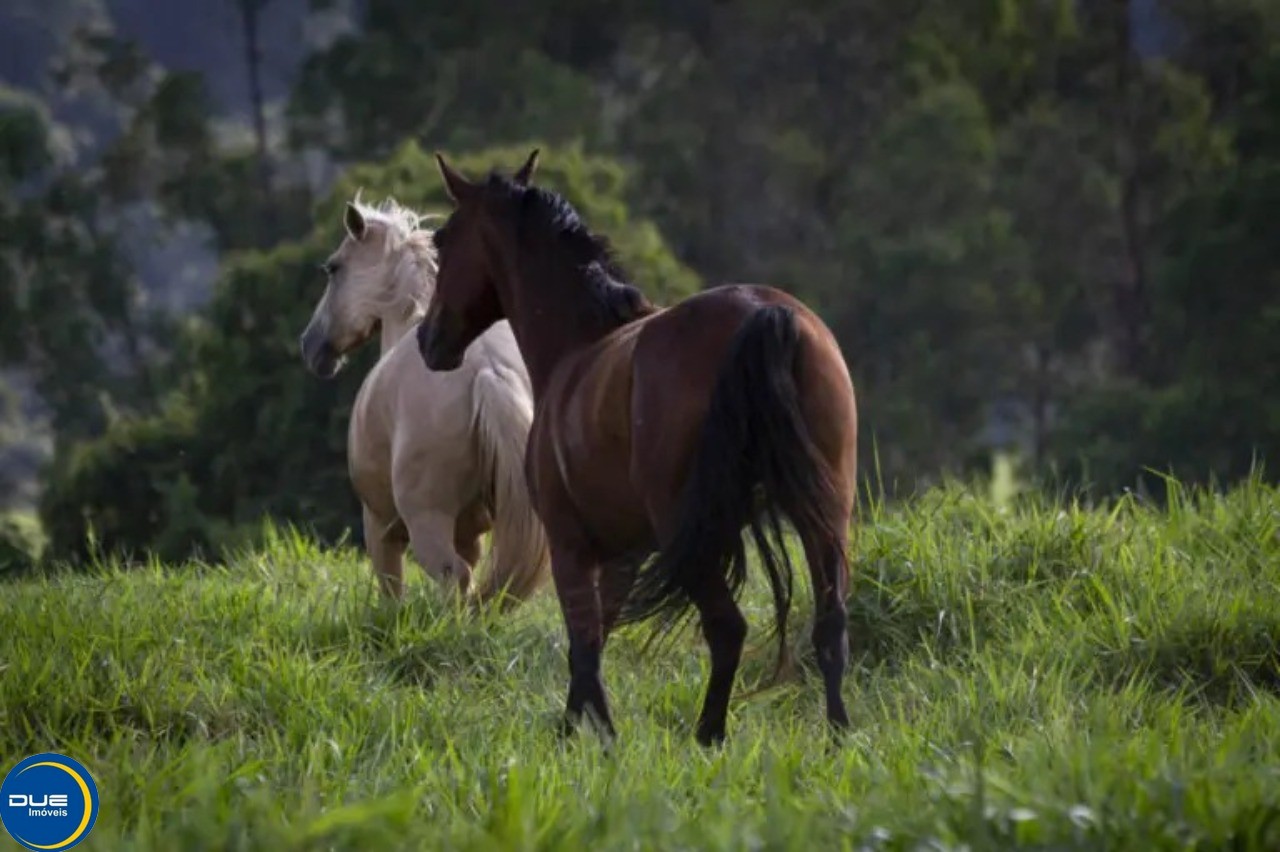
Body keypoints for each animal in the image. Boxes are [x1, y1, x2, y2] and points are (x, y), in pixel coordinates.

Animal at [302, 194, 547, 603]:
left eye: (333, 268)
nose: (310, 345)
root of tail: (489, 372)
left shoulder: (379, 525)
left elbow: (391, 590)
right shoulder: (471, 533)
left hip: (426, 523)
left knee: (453, 577)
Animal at [419, 152, 860, 741]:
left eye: (442, 240)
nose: (427, 340)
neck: (578, 348)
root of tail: (765, 315)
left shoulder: (570, 546)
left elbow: (584, 647)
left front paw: (593, 739)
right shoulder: (623, 557)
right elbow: (595, 641)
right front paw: (577, 730)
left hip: (693, 534)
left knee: (727, 628)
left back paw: (709, 735)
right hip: (823, 518)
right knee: (830, 625)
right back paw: (838, 737)